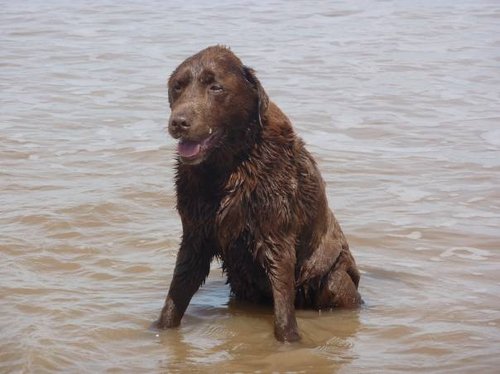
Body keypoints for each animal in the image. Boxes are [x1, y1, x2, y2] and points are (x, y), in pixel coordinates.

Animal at [158, 44, 362, 342]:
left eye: (215, 87)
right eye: (177, 87)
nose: (178, 122)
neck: (228, 167)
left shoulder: (275, 232)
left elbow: (283, 300)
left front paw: (290, 341)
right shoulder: (196, 231)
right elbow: (177, 292)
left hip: (335, 278)